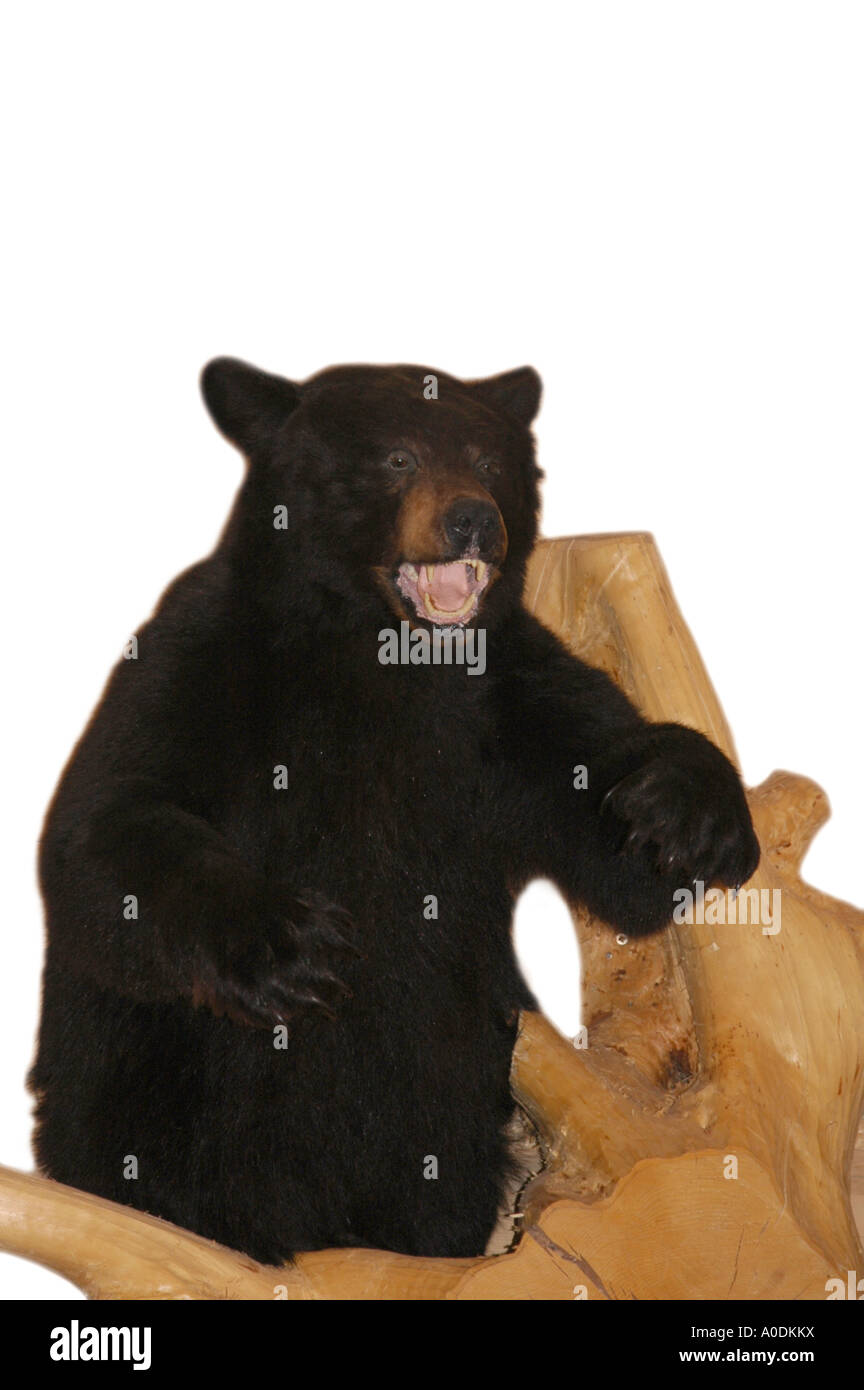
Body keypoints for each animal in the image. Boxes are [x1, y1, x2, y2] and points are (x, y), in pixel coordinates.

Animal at [29, 358, 759, 1263]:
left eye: (488, 461)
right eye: (397, 458)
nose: (473, 520)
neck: (387, 657)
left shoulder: (505, 697)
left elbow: (614, 840)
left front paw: (685, 813)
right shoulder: (206, 658)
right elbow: (104, 833)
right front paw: (288, 941)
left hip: (457, 1086)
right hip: (142, 1073)